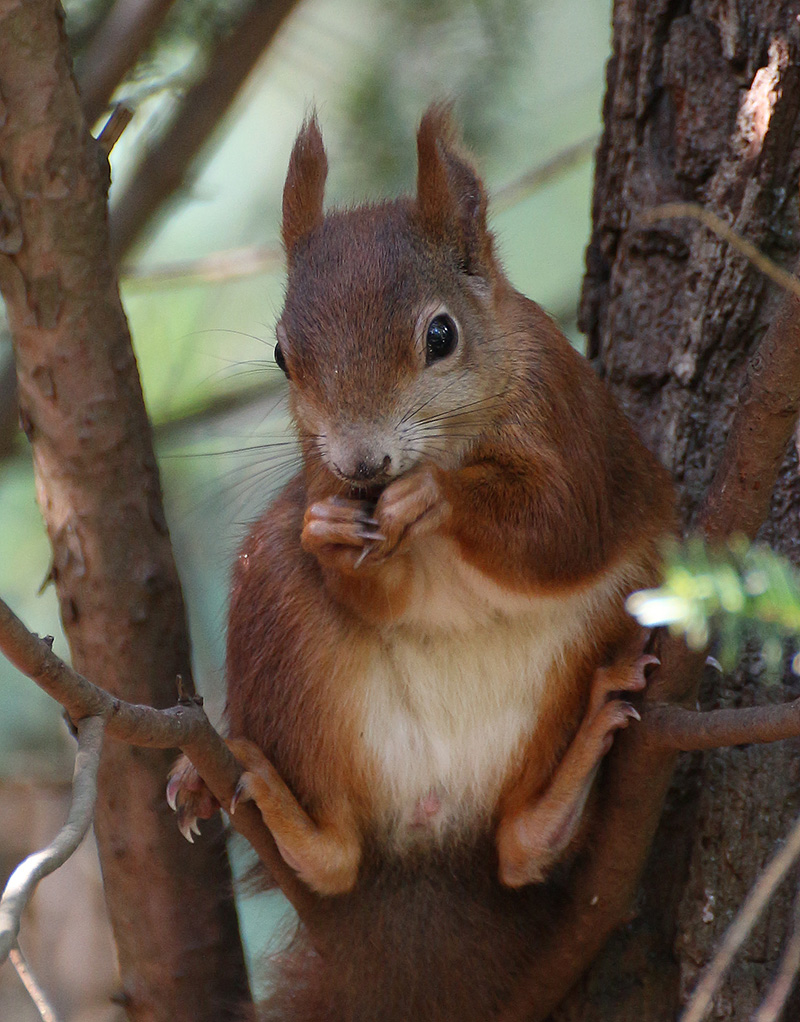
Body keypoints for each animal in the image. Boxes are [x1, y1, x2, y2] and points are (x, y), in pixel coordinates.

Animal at [168, 105, 674, 1021]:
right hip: (280, 622)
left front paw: (437, 496)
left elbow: (557, 528)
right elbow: (376, 591)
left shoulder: (574, 427)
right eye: (282, 356)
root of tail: (432, 825)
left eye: (441, 336)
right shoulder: (320, 483)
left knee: (516, 849)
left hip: (613, 615)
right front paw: (334, 535)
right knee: (339, 860)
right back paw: (257, 786)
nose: (362, 464)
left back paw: (569, 775)